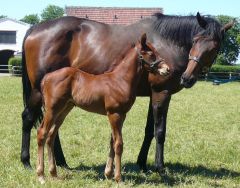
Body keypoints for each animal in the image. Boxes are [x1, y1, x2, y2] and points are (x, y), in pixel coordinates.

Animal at [37, 33, 169, 183]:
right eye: (151, 53)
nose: (167, 69)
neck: (120, 81)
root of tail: (46, 77)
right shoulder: (114, 114)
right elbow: (118, 144)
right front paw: (118, 178)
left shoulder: (122, 115)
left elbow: (112, 141)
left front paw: (108, 173)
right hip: (52, 109)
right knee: (42, 133)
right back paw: (41, 176)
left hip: (64, 110)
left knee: (51, 136)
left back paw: (53, 174)